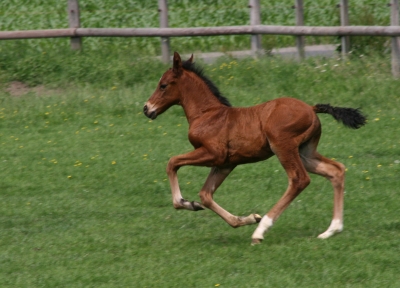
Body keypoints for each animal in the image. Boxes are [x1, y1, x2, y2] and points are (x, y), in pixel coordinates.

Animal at [144, 51, 366, 243]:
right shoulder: (225, 164)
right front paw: (245, 218)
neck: (207, 114)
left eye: (163, 85)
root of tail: (312, 109)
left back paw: (261, 230)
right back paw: (331, 230)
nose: (147, 108)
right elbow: (206, 195)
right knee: (336, 170)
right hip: (305, 152)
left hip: (283, 147)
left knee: (299, 179)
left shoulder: (213, 154)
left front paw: (183, 202)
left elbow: (172, 162)